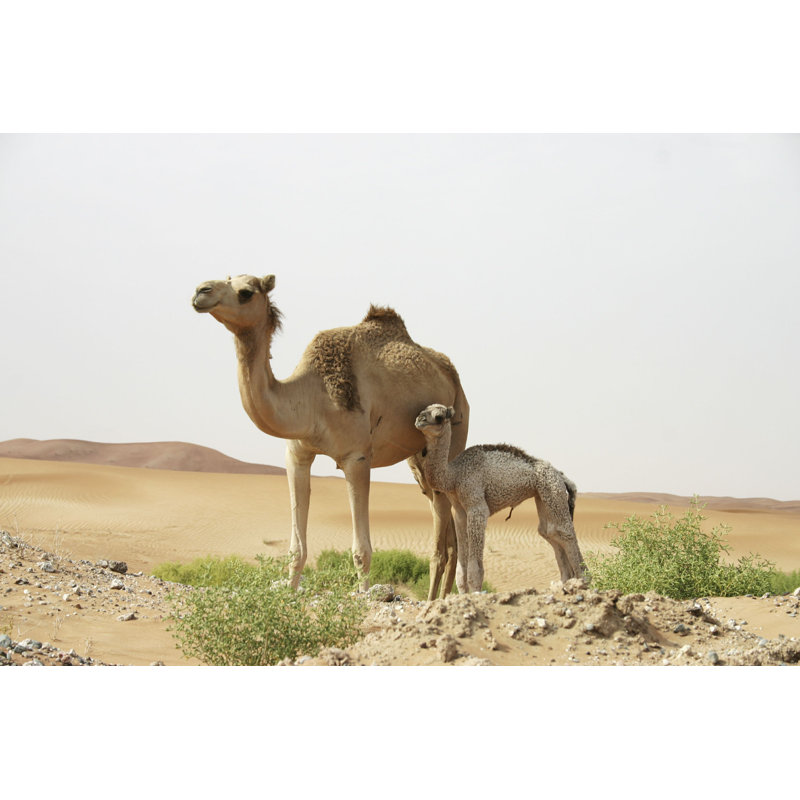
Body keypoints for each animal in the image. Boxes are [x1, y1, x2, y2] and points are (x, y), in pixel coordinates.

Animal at [192, 274, 469, 599]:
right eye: (227, 278)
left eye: (246, 292)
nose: (200, 291)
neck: (313, 396)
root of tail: (453, 377)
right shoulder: (297, 455)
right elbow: (296, 548)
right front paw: (289, 593)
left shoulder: (356, 457)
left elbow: (361, 550)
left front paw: (363, 596)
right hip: (419, 460)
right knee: (440, 512)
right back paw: (442, 596)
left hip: (457, 426)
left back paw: (444, 597)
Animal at [414, 403, 587, 594]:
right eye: (423, 410)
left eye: (438, 416)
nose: (419, 420)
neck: (453, 475)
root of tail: (561, 476)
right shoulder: (459, 510)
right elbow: (461, 569)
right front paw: (463, 594)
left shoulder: (476, 505)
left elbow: (475, 567)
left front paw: (475, 593)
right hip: (543, 494)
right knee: (549, 531)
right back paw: (566, 582)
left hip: (552, 490)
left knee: (565, 532)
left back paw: (583, 581)